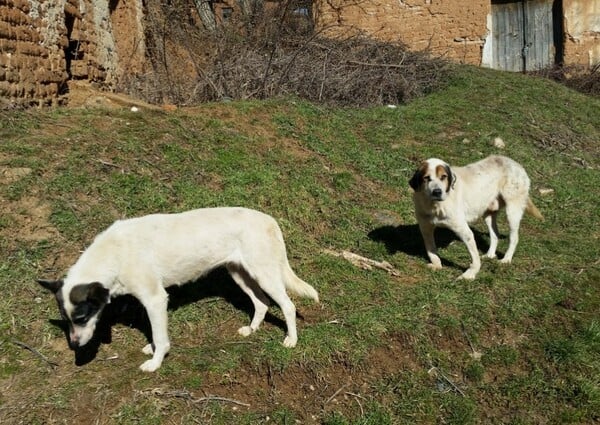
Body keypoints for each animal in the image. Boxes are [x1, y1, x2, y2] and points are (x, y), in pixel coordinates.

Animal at [37, 207, 318, 370]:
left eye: (82, 317)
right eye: (67, 320)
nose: (73, 345)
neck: (113, 254)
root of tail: (269, 220)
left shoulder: (155, 299)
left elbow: (161, 337)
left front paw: (155, 361)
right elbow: (155, 332)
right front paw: (152, 349)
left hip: (265, 274)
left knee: (288, 305)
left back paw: (291, 339)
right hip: (240, 274)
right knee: (261, 303)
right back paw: (252, 329)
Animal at [408, 154, 544, 280]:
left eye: (443, 177)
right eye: (426, 178)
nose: (437, 192)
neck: (434, 206)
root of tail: (515, 163)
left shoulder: (465, 232)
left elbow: (475, 259)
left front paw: (469, 275)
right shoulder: (425, 229)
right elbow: (431, 251)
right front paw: (437, 265)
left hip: (512, 211)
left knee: (514, 238)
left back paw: (506, 259)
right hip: (488, 214)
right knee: (495, 235)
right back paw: (490, 255)